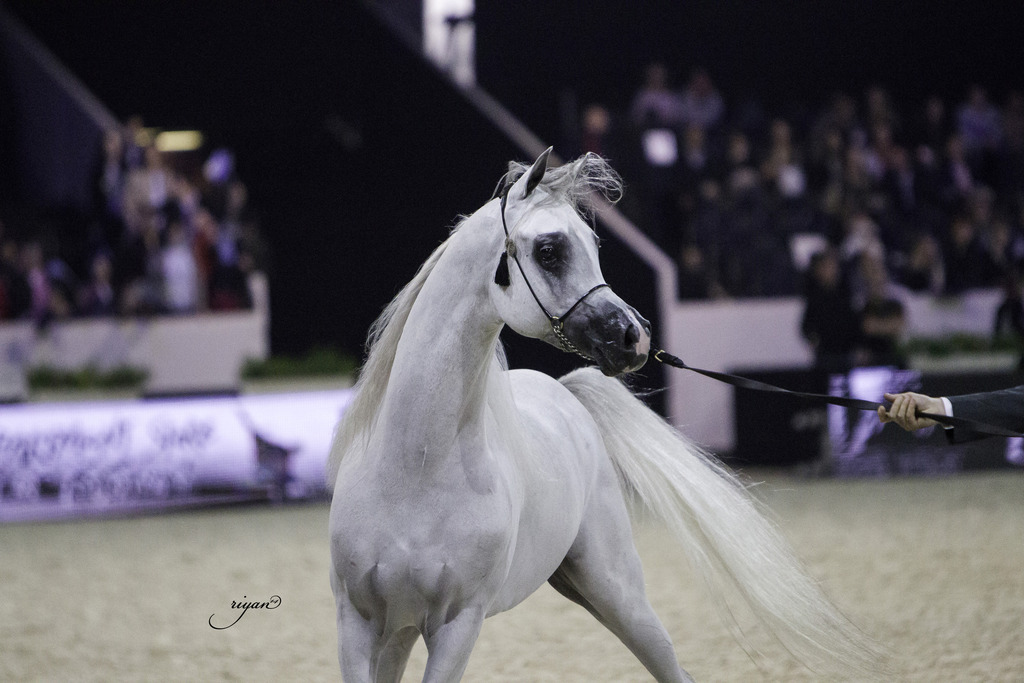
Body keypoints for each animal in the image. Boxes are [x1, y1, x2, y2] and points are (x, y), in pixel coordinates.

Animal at [327, 149, 884, 682]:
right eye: (549, 250)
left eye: (594, 247)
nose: (634, 336)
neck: (415, 467)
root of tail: (564, 392)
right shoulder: (360, 622)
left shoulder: (458, 625)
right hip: (411, 630)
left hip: (615, 589)